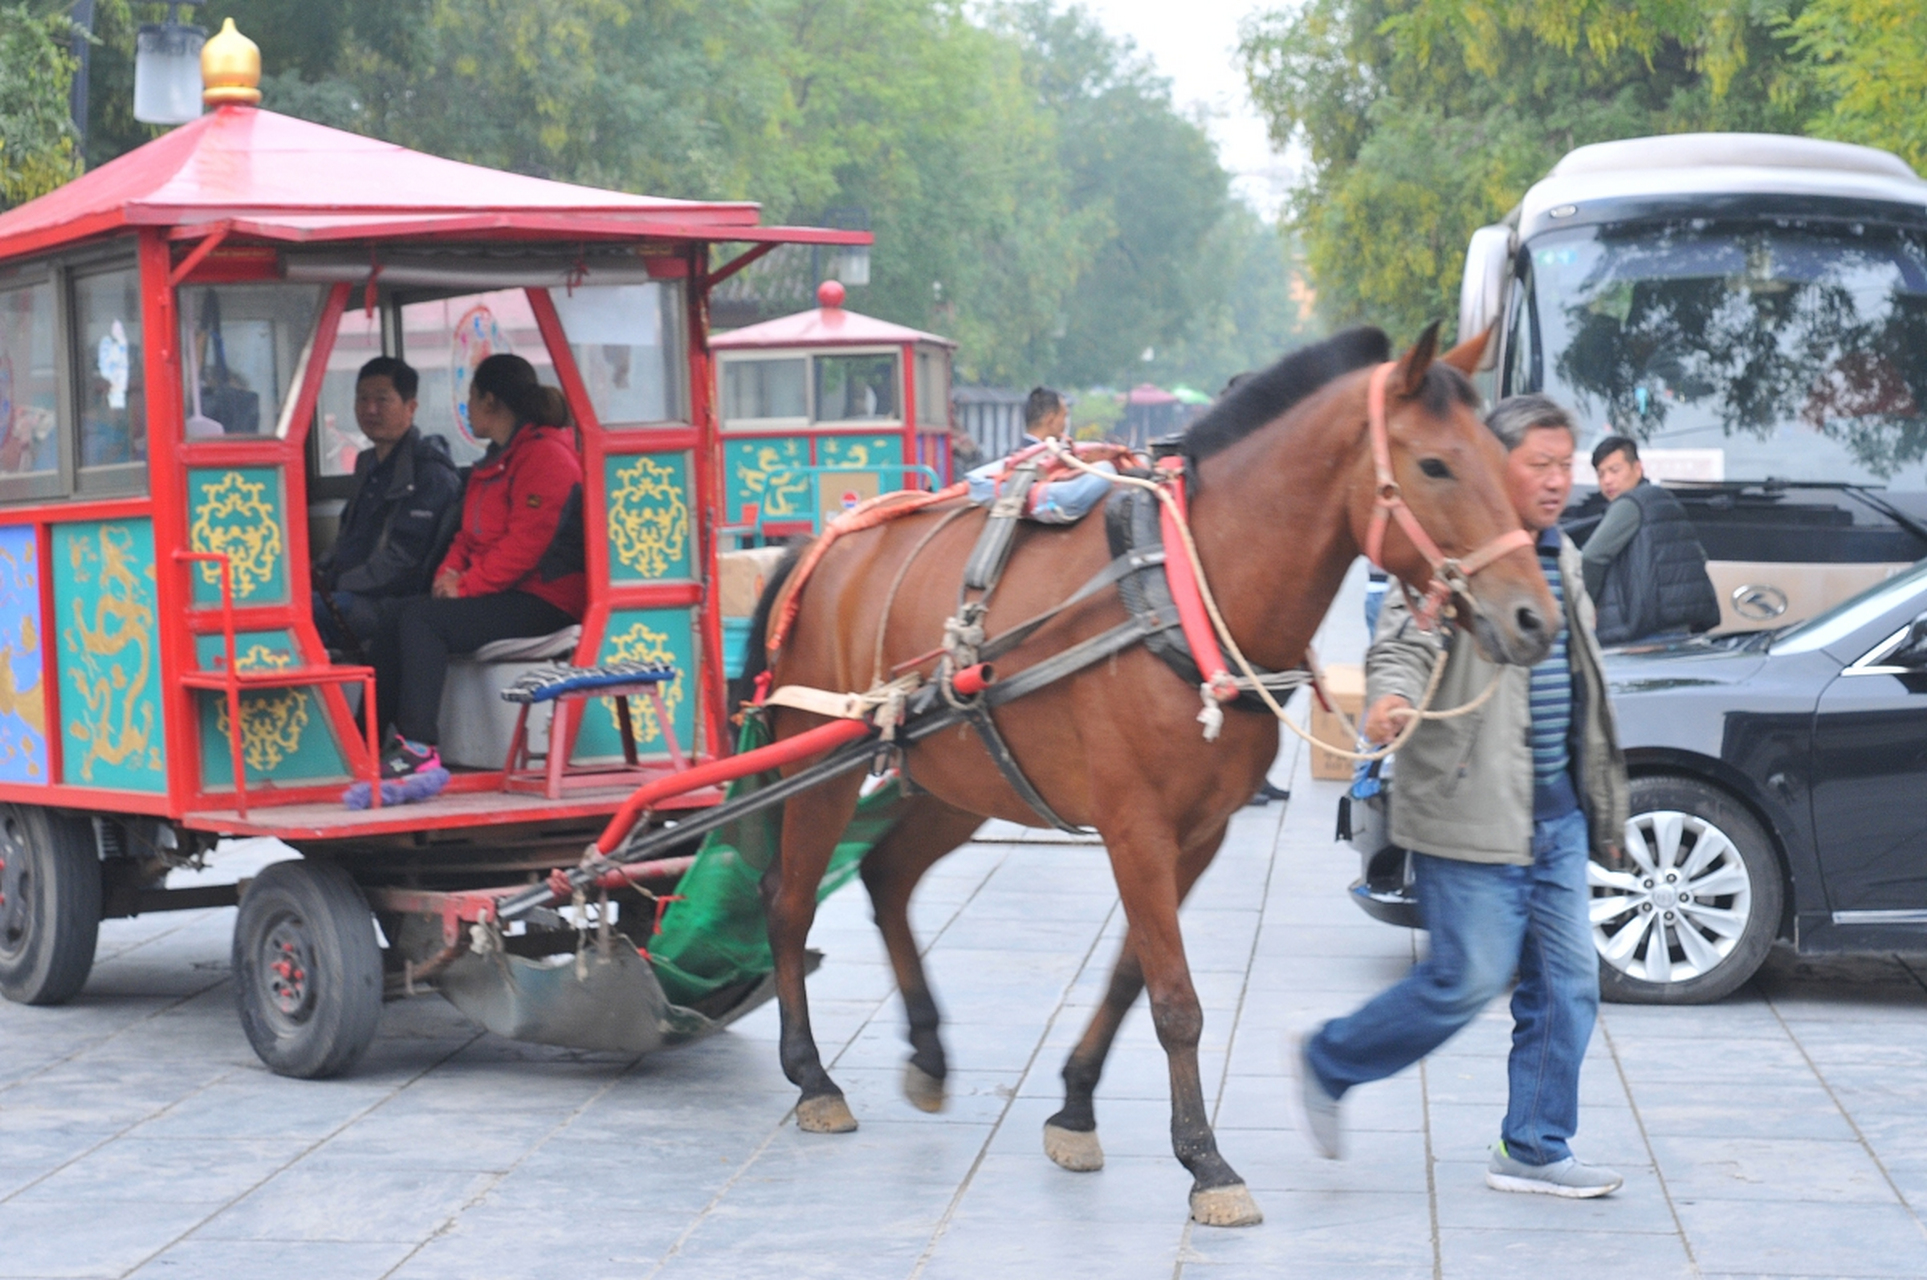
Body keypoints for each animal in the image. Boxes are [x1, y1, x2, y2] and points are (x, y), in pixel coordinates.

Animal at [743, 325, 1557, 1226]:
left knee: (887, 875)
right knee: (786, 901)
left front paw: (1074, 1107)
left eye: (1501, 458)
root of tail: (821, 544)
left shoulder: (1197, 833)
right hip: (817, 758)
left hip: (966, 776)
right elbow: (1175, 1000)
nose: (1534, 618)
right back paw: (811, 1076)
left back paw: (926, 1050)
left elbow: (1133, 975)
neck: (1189, 588)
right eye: (1435, 466)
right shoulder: (1133, 826)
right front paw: (1204, 1160)